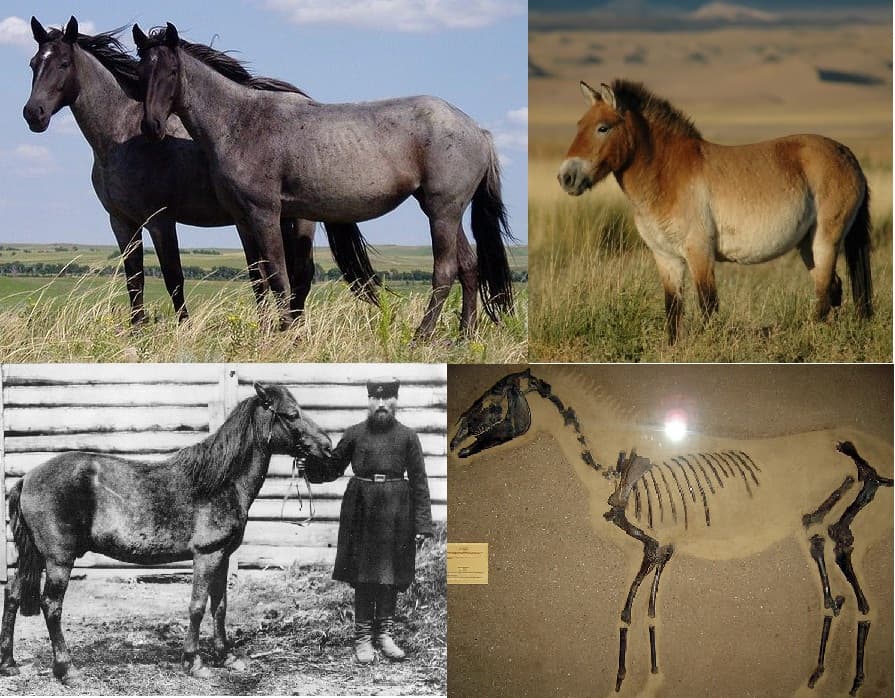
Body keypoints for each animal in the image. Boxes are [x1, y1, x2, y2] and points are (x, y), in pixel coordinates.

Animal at [0, 382, 332, 685]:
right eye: (292, 414)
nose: (327, 446)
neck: (219, 483)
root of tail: (27, 479)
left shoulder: (222, 557)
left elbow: (220, 606)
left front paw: (226, 656)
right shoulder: (206, 555)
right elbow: (198, 606)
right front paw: (194, 662)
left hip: (34, 556)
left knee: (13, 595)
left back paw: (9, 664)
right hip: (59, 560)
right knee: (51, 605)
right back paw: (67, 670)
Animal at [23, 16, 379, 327]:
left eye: (63, 64)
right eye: (33, 64)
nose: (33, 114)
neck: (120, 137)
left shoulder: (161, 221)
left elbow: (174, 278)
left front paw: (182, 329)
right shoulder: (122, 223)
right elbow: (134, 280)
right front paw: (137, 330)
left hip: (300, 219)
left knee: (300, 276)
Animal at [132, 22, 514, 339]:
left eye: (172, 71)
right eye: (140, 72)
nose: (151, 126)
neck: (240, 122)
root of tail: (477, 130)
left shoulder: (266, 214)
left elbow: (279, 275)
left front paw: (286, 332)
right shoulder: (242, 219)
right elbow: (258, 277)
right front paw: (265, 331)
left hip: (441, 212)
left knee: (445, 270)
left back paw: (423, 335)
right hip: (447, 211)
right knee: (469, 267)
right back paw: (465, 335)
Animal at [452, 368, 892, 695]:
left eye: (492, 405)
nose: (456, 443)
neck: (611, 463)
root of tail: (853, 451)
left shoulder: (651, 543)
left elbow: (628, 610)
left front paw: (622, 679)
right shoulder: (663, 546)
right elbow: (648, 611)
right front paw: (650, 676)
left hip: (833, 518)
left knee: (847, 566)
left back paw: (852, 681)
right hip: (813, 525)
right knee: (832, 595)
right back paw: (819, 677)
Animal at [557, 79, 873, 343]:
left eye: (603, 127)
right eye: (578, 124)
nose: (566, 177)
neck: (667, 175)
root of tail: (847, 155)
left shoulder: (699, 252)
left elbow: (707, 304)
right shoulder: (666, 257)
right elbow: (673, 308)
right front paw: (673, 349)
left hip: (825, 241)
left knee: (824, 293)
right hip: (807, 245)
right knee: (832, 288)